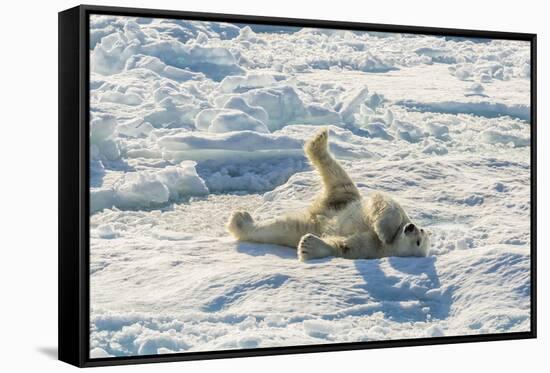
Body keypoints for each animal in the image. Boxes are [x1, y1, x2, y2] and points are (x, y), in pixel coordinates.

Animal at [227, 129, 432, 260]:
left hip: (312, 218)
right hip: (344, 198)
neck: (387, 245)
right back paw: (319, 139)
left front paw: (308, 246)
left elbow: (343, 246)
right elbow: (387, 204)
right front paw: (384, 230)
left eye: (418, 242)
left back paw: (239, 222)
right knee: (338, 174)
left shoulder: (369, 249)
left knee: (279, 229)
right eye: (420, 231)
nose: (410, 227)